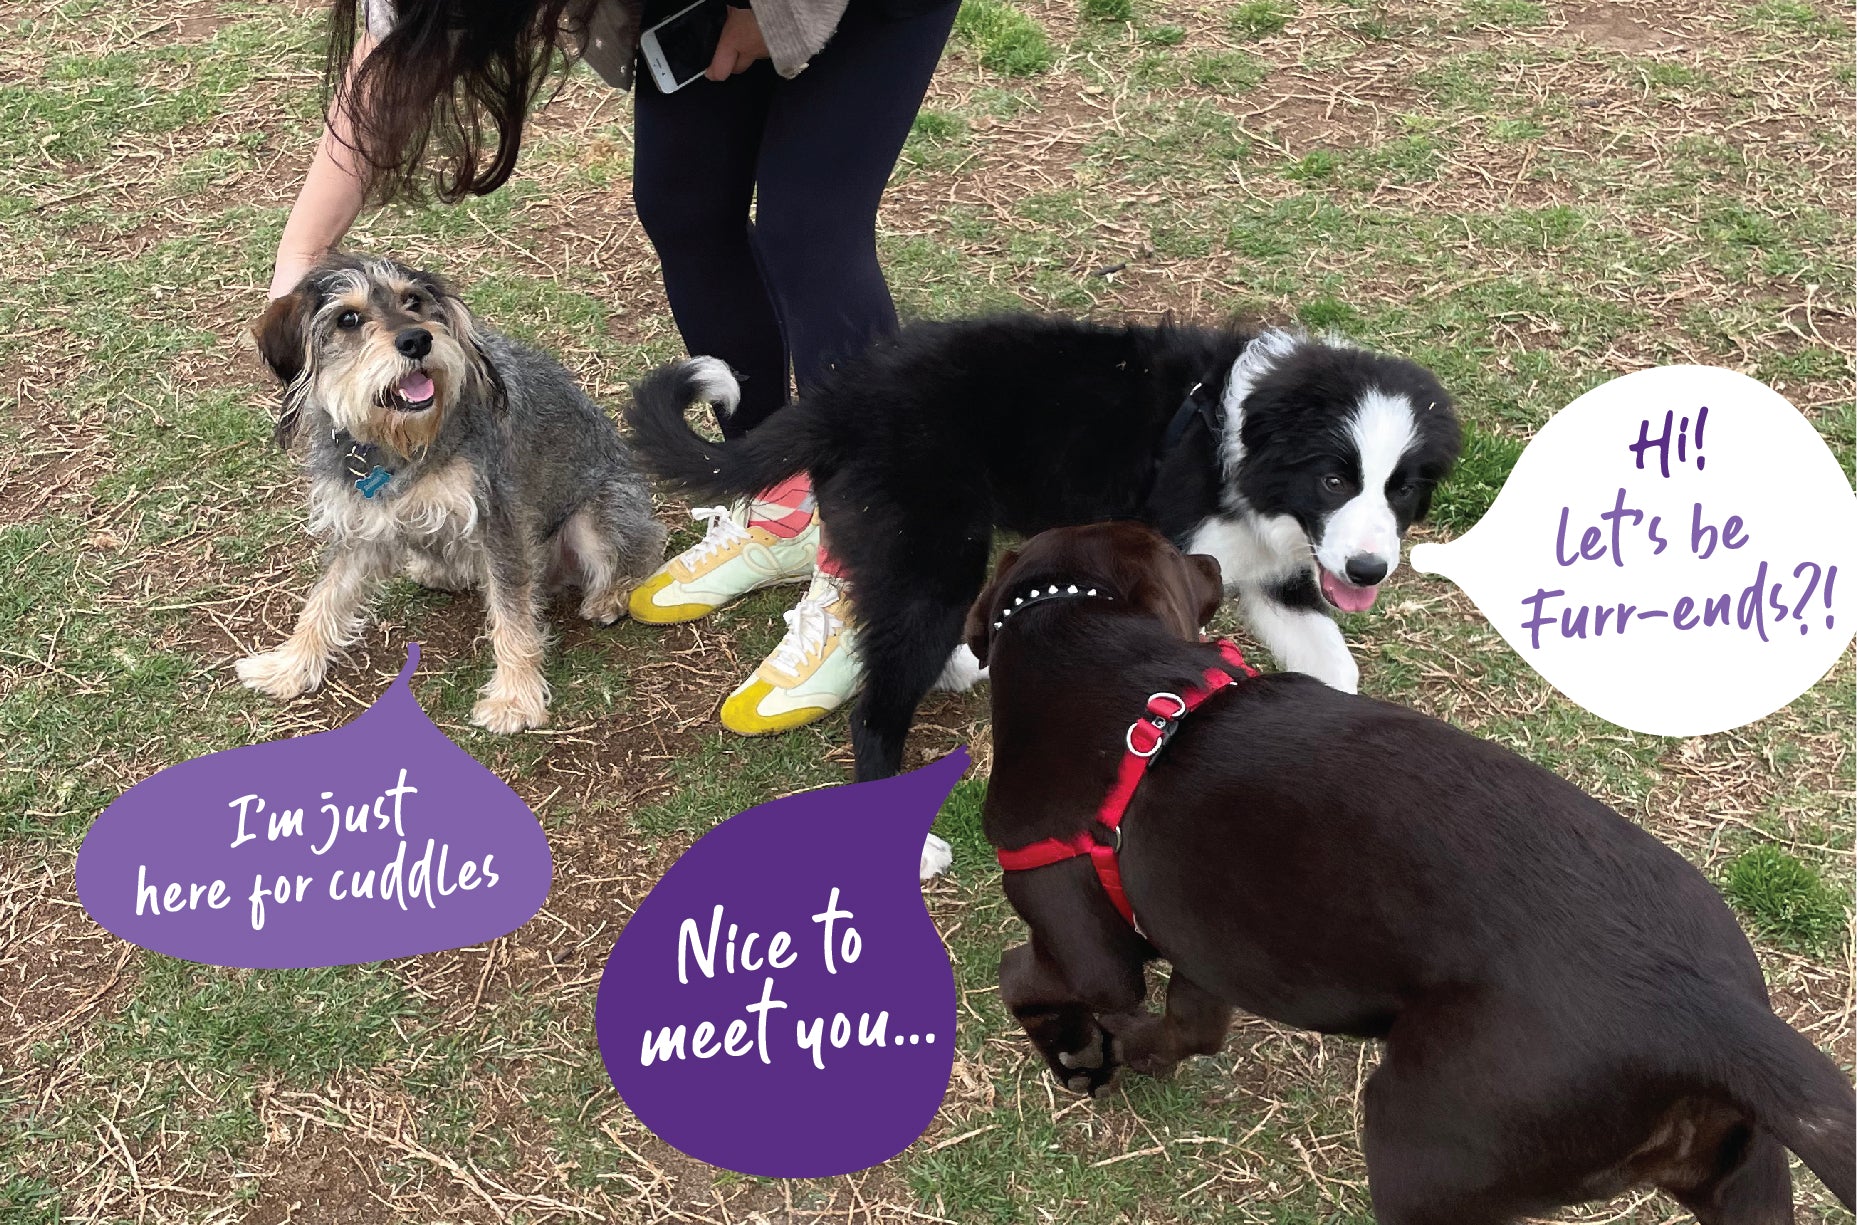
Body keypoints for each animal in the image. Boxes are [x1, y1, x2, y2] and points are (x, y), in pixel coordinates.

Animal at [235, 248, 664, 727]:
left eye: (414, 300)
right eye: (347, 318)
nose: (416, 341)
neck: (401, 443)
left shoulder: (498, 522)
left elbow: (513, 615)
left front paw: (514, 697)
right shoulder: (361, 526)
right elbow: (325, 597)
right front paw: (288, 665)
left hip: (595, 518)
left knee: (643, 550)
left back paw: (610, 596)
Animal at [631, 311, 1455, 779]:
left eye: (1400, 489)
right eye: (1332, 478)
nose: (1368, 571)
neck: (1241, 436)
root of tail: (838, 399)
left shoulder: (1275, 575)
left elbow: (1335, 668)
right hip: (934, 553)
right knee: (876, 704)